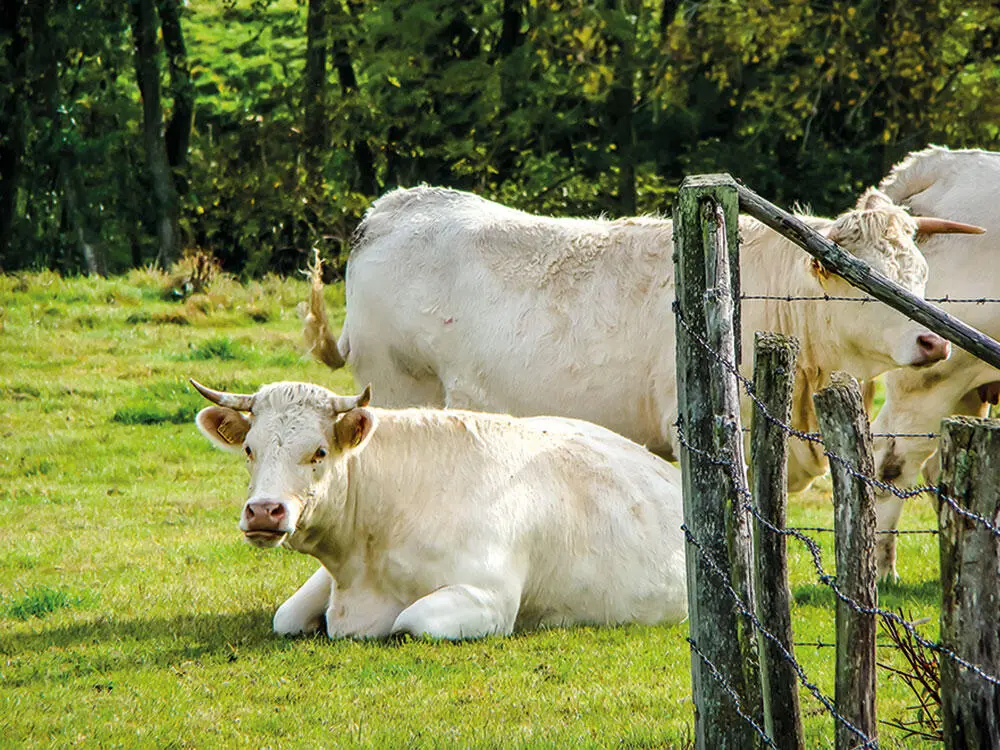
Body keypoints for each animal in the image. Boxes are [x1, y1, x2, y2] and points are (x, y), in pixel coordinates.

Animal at [189, 382, 688, 640]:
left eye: (318, 452)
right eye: (249, 450)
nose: (264, 512)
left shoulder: (489, 598)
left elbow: (409, 623)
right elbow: (286, 617)